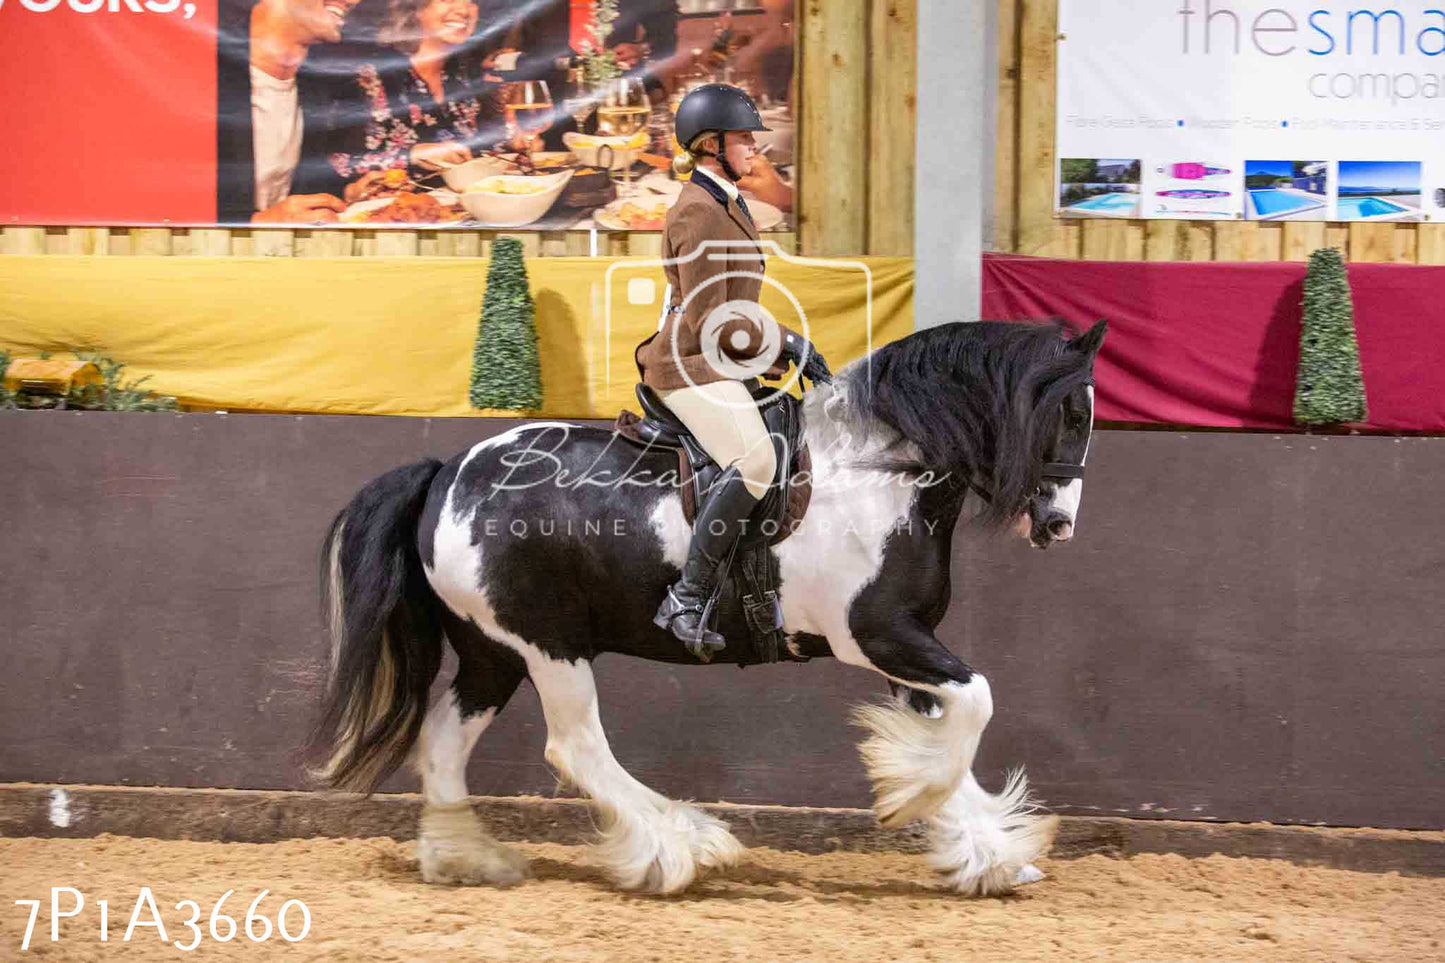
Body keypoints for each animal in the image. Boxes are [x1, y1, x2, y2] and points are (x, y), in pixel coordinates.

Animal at [310, 318, 1103, 896]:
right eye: (1069, 411)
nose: (1060, 524)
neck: (881, 474)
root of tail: (448, 472)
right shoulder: (878, 635)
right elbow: (975, 705)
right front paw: (912, 801)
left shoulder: (903, 646)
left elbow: (950, 730)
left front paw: (989, 853)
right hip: (548, 645)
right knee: (576, 746)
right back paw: (680, 847)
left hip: (491, 652)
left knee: (444, 740)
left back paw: (463, 860)